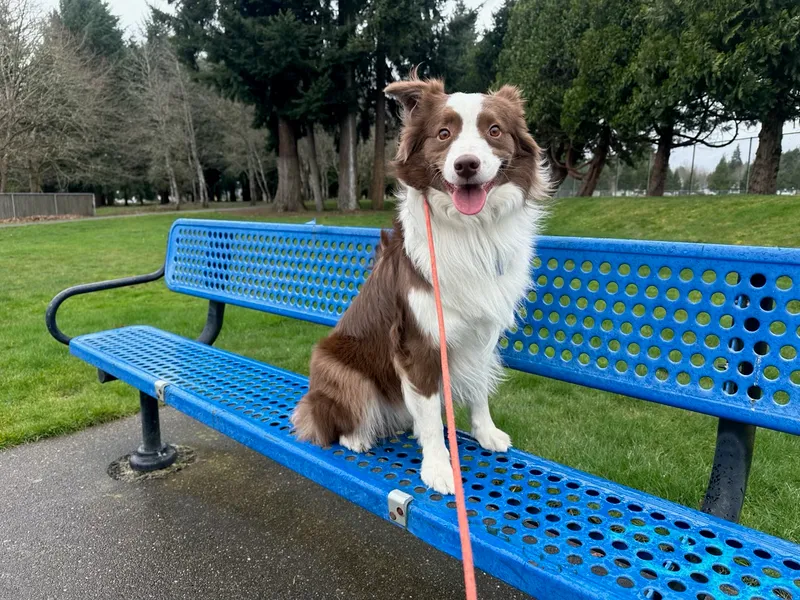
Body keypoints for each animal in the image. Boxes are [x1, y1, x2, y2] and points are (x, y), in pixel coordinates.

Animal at [292, 75, 552, 494]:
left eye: (494, 130)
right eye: (443, 133)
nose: (466, 165)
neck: (472, 231)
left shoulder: (481, 335)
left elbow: (479, 388)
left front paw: (486, 432)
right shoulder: (419, 343)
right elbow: (430, 417)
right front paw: (439, 469)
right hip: (337, 367)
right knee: (326, 419)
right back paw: (356, 437)